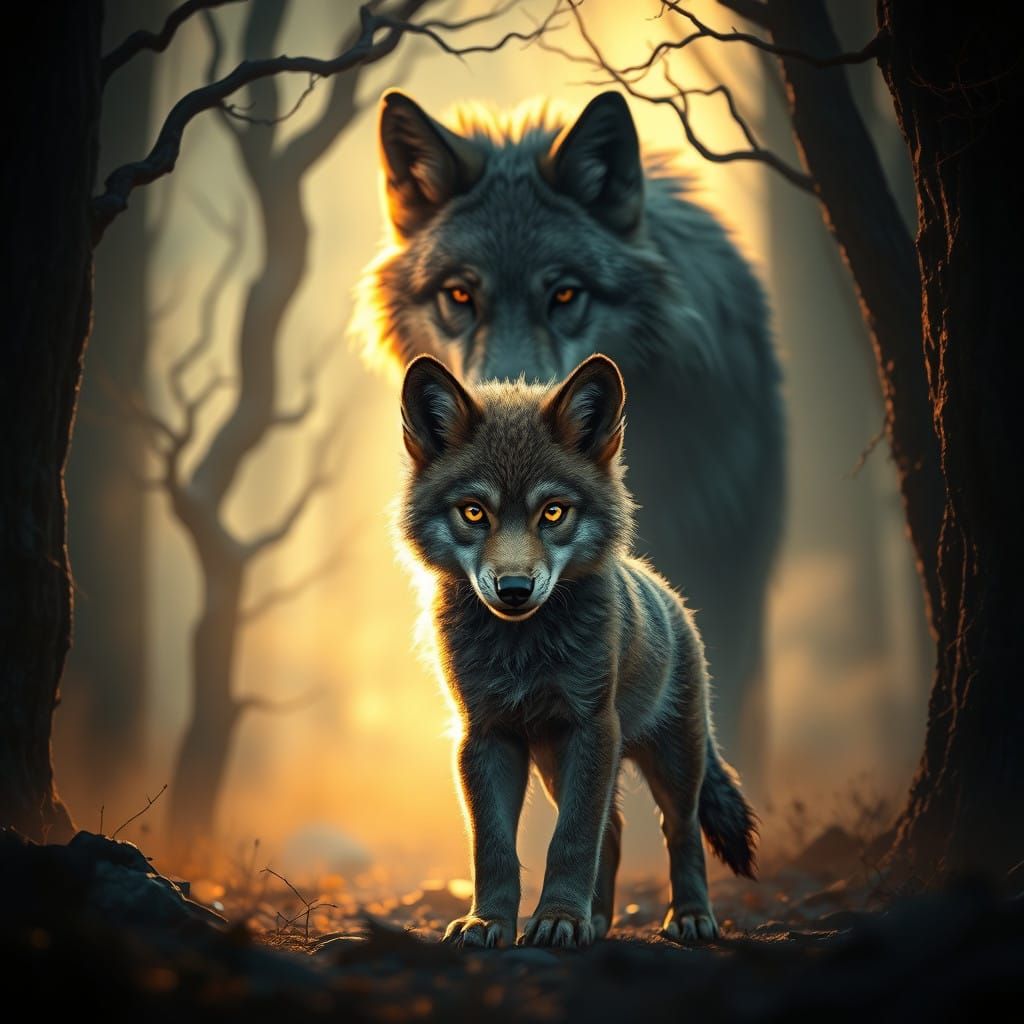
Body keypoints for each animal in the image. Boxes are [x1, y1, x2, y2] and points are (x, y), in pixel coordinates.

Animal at [399, 352, 757, 948]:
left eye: (552, 512)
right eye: (474, 513)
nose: (514, 589)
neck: (521, 652)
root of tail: (674, 599)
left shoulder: (592, 728)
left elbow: (570, 841)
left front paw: (558, 920)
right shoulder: (484, 736)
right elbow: (493, 848)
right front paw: (490, 921)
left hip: (671, 761)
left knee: (677, 830)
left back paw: (687, 916)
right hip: (555, 763)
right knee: (613, 830)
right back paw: (598, 921)